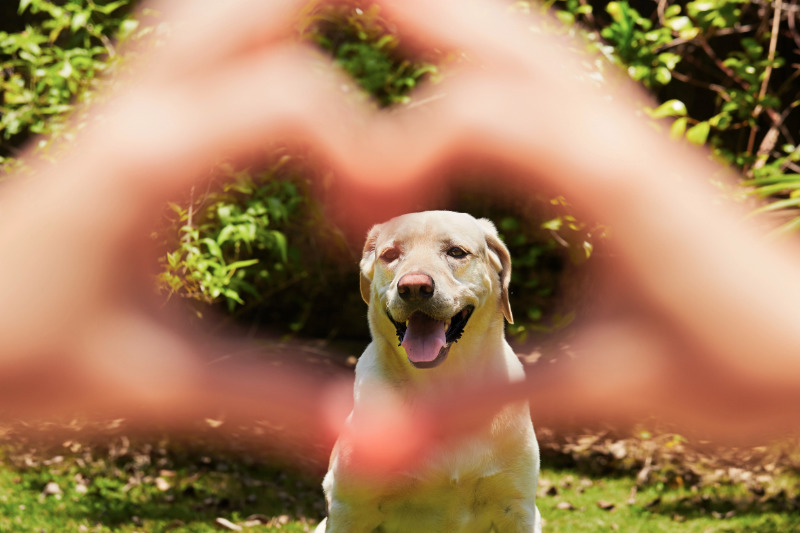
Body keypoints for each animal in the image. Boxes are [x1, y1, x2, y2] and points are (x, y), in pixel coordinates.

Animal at [316, 211, 540, 532]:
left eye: (456, 252)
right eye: (390, 255)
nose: (413, 287)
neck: (443, 387)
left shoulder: (517, 507)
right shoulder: (350, 509)